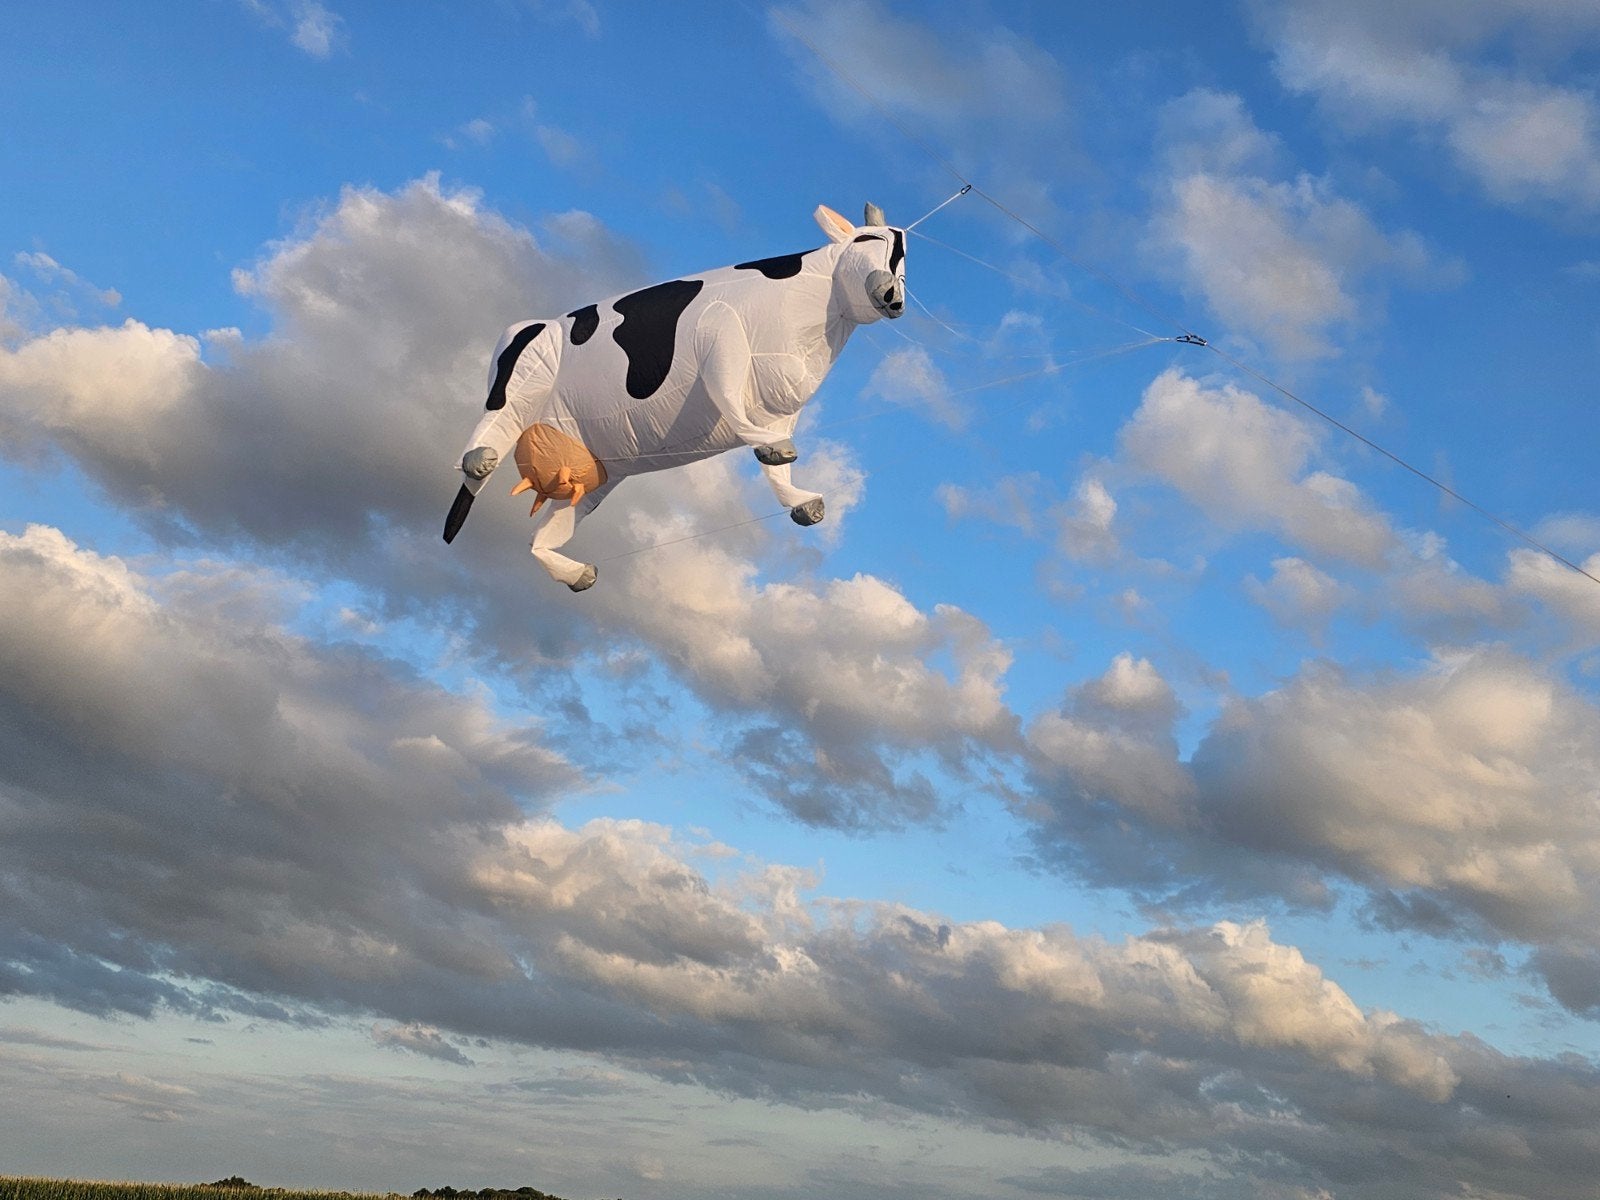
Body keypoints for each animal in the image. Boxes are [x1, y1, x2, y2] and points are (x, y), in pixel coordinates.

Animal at [443, 201, 907, 591]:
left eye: (906, 262)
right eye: (867, 239)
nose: (892, 294)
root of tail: (528, 324)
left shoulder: (781, 404)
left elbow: (777, 472)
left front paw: (803, 501)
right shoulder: (720, 330)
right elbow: (729, 395)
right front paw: (774, 449)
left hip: (598, 471)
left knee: (540, 539)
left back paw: (579, 573)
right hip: (527, 373)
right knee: (489, 435)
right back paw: (480, 460)